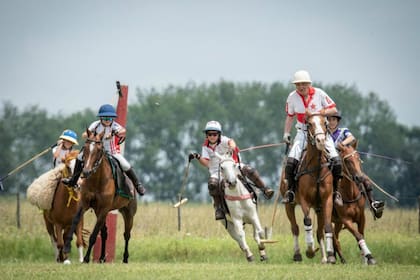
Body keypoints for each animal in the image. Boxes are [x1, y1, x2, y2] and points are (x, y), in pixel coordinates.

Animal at [63, 130, 137, 264]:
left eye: (98, 150)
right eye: (85, 148)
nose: (86, 171)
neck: (97, 180)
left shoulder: (104, 209)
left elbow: (94, 235)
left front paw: (86, 258)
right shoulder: (84, 204)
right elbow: (75, 221)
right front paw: (66, 247)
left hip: (128, 212)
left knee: (127, 234)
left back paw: (125, 258)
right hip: (100, 212)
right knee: (104, 233)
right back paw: (102, 257)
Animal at [280, 112, 336, 264]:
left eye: (325, 122)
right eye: (309, 124)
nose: (321, 141)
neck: (316, 169)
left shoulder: (326, 200)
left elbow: (327, 226)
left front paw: (330, 256)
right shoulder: (304, 200)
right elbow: (307, 221)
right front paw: (310, 250)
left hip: (318, 208)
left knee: (319, 231)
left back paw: (324, 258)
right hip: (289, 205)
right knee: (295, 228)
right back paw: (297, 254)